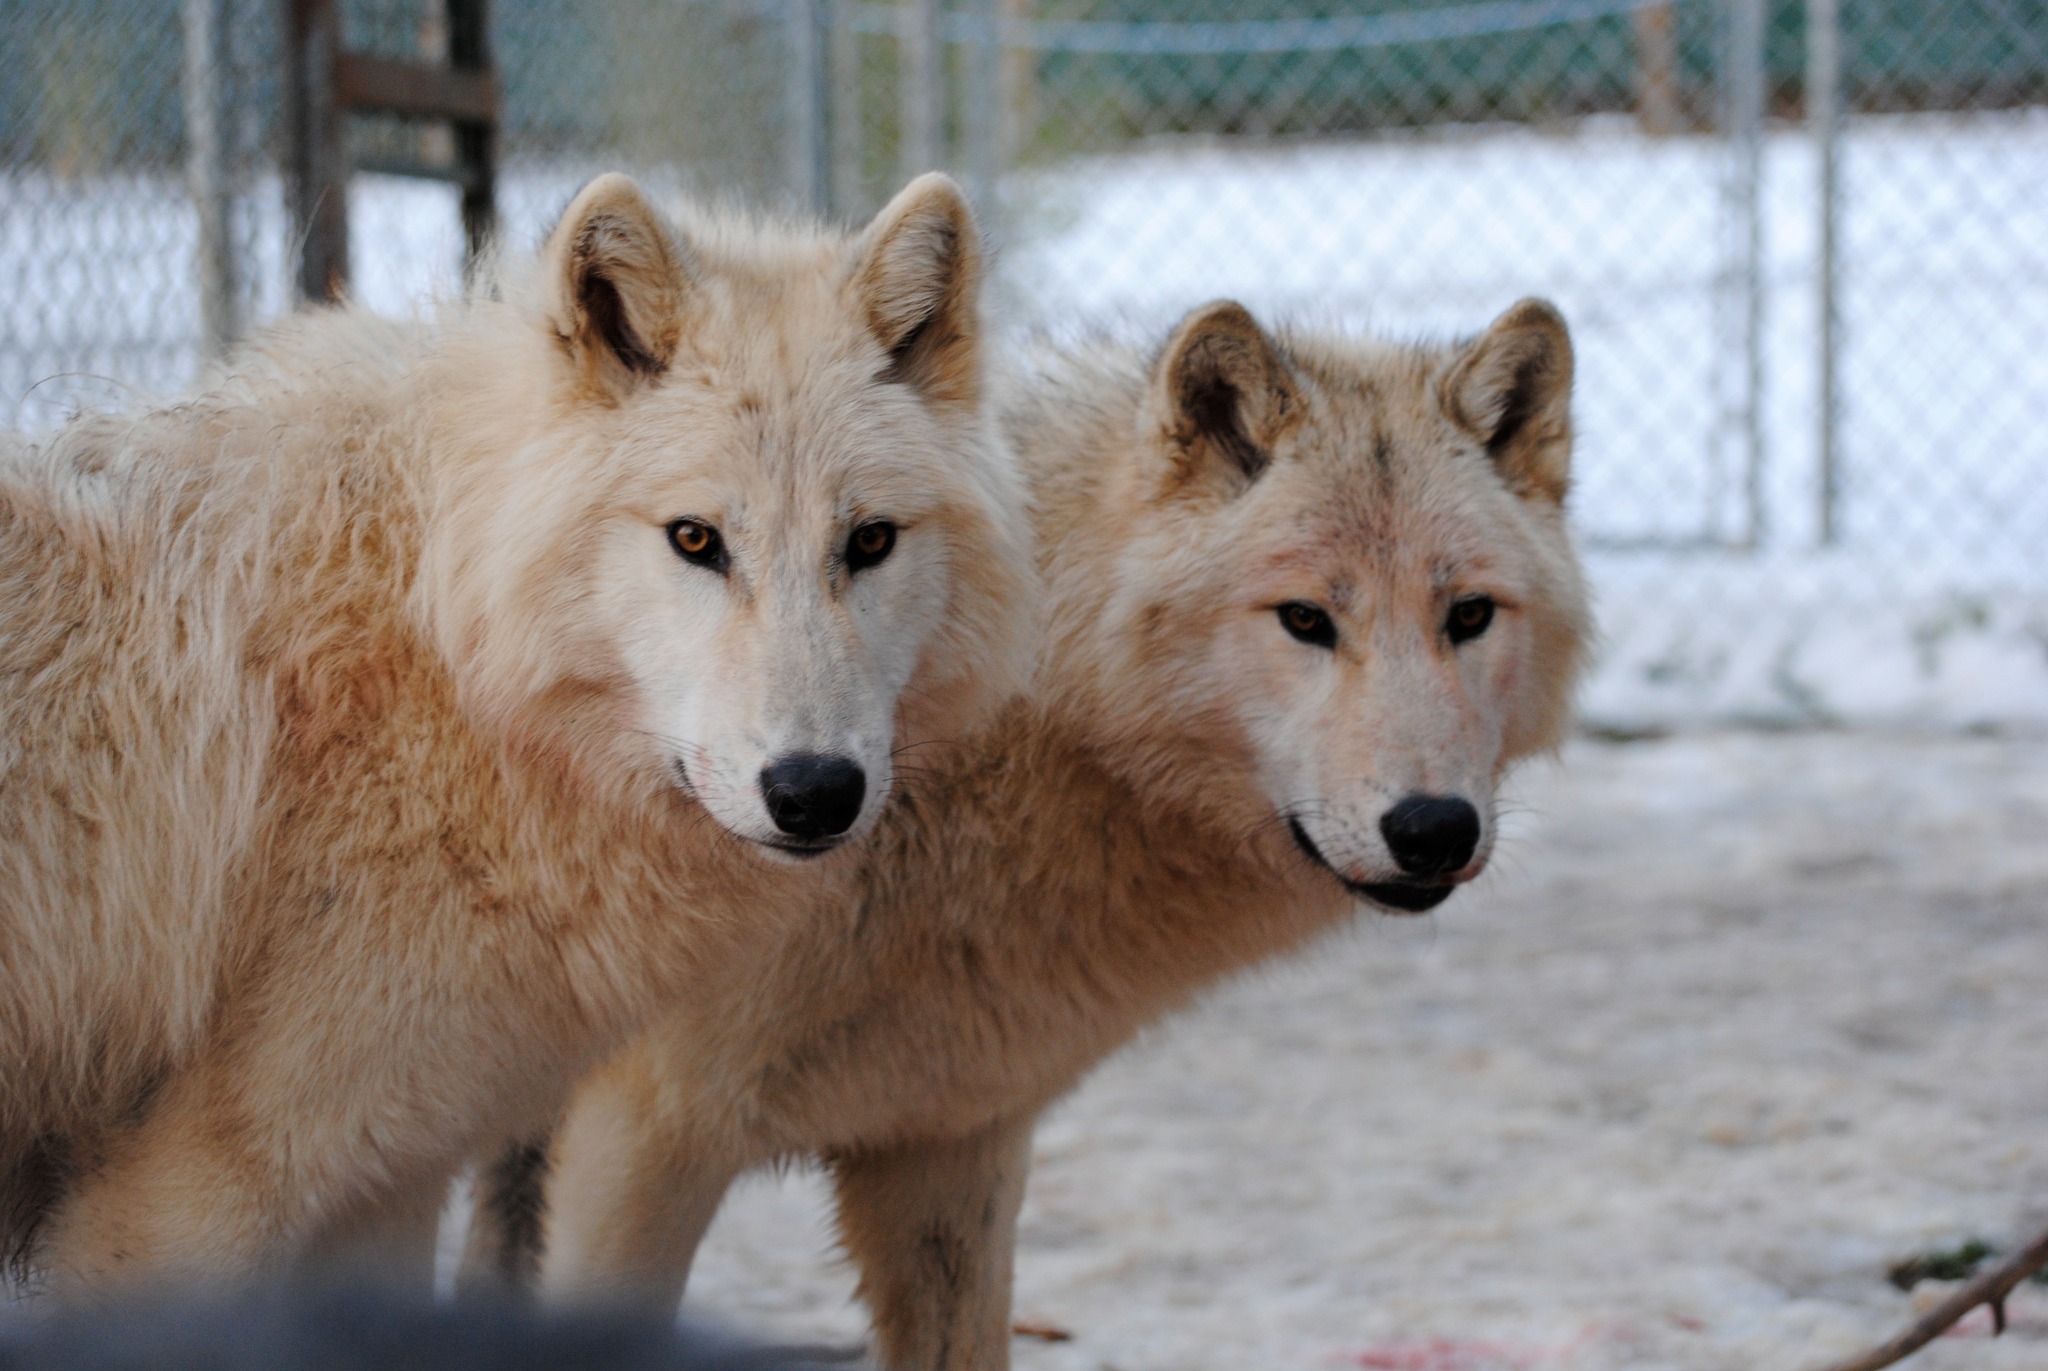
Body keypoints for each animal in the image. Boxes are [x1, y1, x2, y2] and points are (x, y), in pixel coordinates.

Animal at [0, 171, 1033, 1292]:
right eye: (695, 539)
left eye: (870, 541)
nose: (813, 790)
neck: (441, 649)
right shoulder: (174, 1203)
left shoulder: (387, 1181)